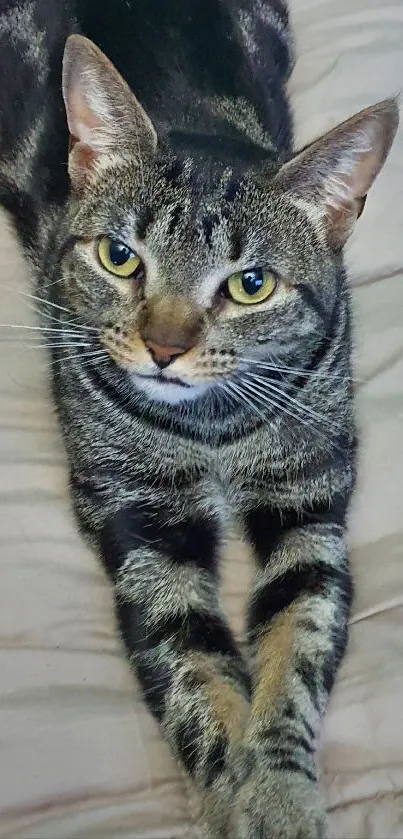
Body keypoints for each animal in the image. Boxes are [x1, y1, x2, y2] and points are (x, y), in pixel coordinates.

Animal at [0, 0, 400, 836]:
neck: (212, 428)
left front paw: (280, 795)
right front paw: (231, 796)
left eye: (250, 285)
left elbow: (296, 644)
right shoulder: (140, 522)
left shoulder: (309, 502)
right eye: (119, 256)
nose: (163, 347)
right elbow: (192, 670)